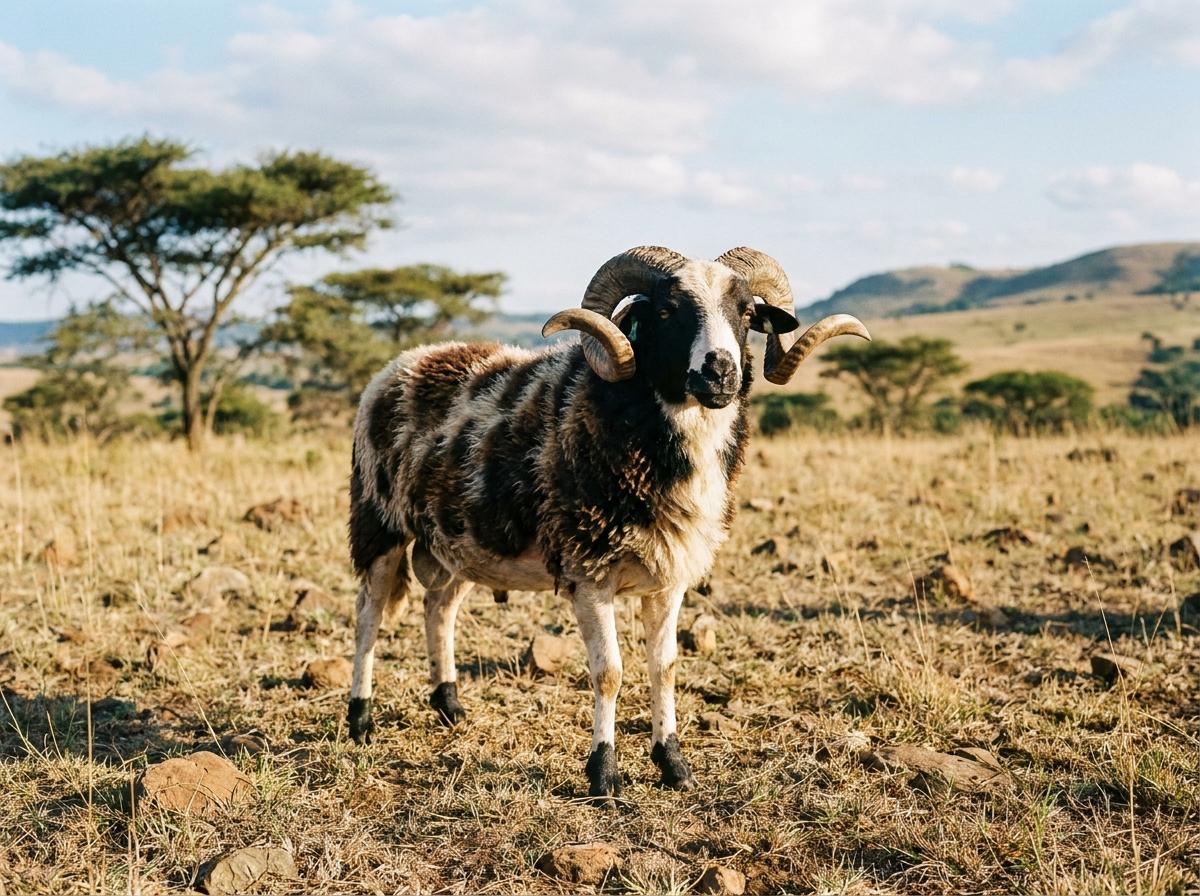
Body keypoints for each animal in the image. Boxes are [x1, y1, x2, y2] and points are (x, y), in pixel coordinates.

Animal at [346, 246, 869, 806]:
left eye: (748, 312)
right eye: (666, 310)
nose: (720, 374)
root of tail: (406, 362)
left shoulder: (669, 578)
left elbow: (665, 667)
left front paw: (673, 765)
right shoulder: (589, 573)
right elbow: (609, 674)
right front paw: (604, 775)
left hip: (461, 542)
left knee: (439, 608)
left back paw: (450, 707)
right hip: (378, 521)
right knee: (368, 618)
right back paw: (360, 720)